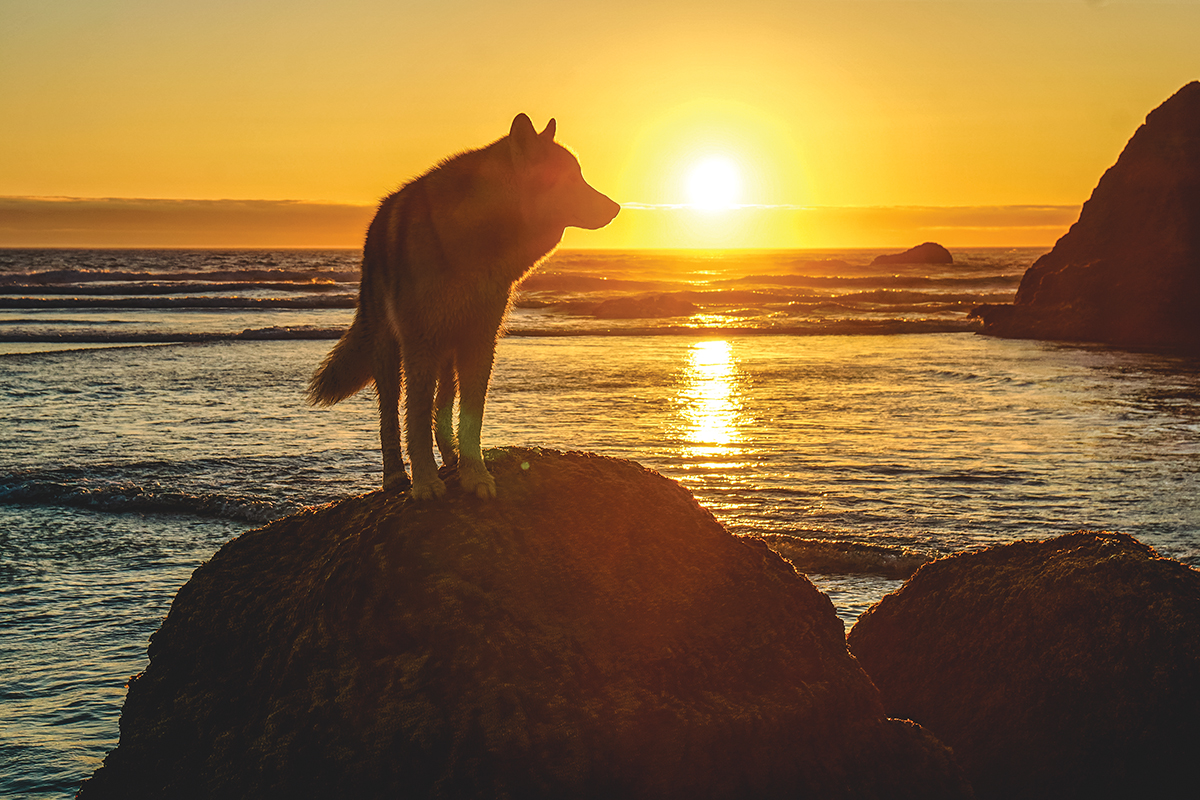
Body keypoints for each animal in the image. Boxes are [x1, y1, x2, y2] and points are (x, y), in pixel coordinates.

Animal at [309, 115, 619, 496]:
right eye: (571, 178)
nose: (617, 208)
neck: (479, 238)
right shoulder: (419, 343)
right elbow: (414, 419)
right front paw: (426, 483)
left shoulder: (480, 341)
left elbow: (470, 417)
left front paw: (475, 474)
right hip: (390, 350)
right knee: (391, 415)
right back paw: (395, 475)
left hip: (448, 350)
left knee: (441, 407)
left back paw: (451, 458)